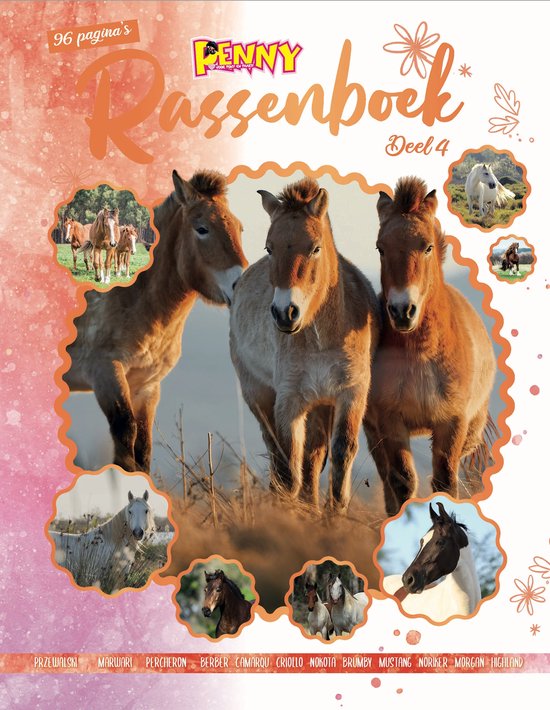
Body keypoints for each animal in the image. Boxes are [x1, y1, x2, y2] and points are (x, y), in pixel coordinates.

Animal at [63, 170, 247, 473]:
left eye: (239, 228)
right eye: (202, 229)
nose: (239, 285)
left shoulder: (146, 386)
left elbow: (143, 448)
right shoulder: (106, 374)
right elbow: (126, 440)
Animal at [230, 177, 380, 513]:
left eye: (315, 247)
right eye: (269, 247)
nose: (285, 313)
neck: (322, 338)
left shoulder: (351, 393)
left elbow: (340, 453)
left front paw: (334, 515)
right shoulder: (289, 400)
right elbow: (289, 469)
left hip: (321, 405)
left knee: (313, 458)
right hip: (259, 396)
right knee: (279, 455)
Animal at [364, 177, 496, 516]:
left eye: (427, 247)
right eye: (380, 248)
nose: (402, 311)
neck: (421, 353)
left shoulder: (452, 424)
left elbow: (445, 481)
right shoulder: (391, 423)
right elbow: (402, 482)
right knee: (386, 480)